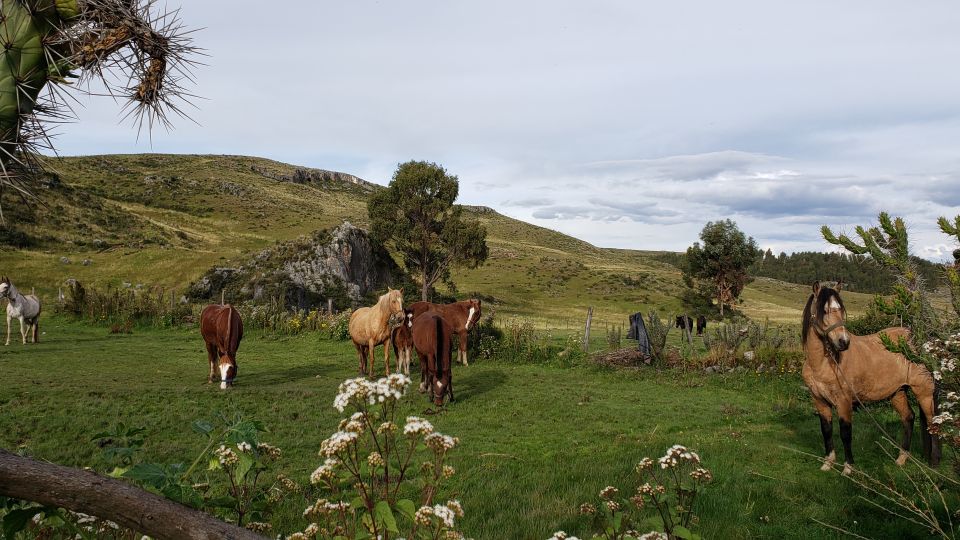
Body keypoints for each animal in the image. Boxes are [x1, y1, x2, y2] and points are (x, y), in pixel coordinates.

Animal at [804, 280, 936, 474]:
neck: (823, 363)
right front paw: (828, 463)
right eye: (824, 310)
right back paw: (901, 459)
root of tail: (917, 341)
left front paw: (848, 468)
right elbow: (826, 430)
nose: (843, 342)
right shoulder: (819, 400)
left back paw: (933, 463)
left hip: (924, 392)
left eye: (841, 310)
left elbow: (845, 433)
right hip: (897, 392)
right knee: (908, 418)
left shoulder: (844, 401)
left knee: (932, 423)